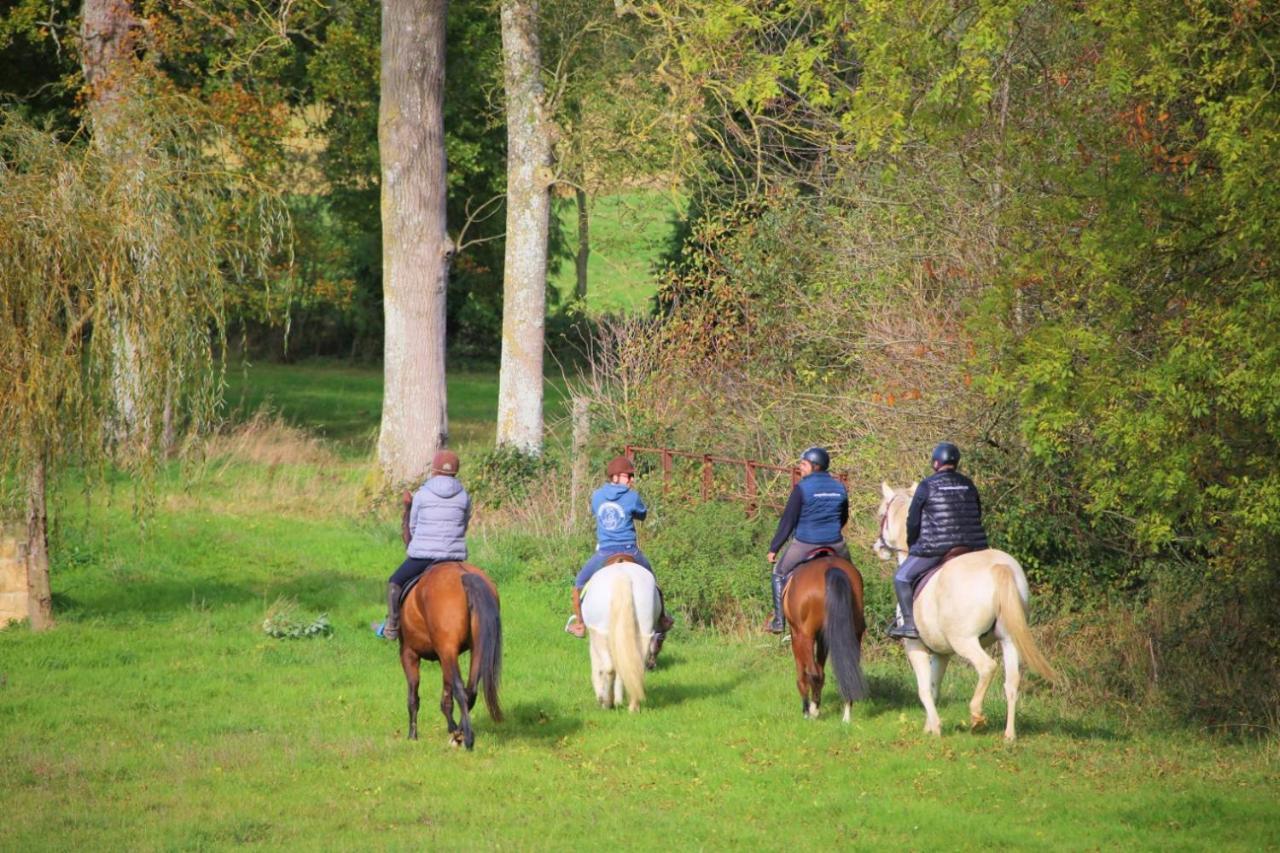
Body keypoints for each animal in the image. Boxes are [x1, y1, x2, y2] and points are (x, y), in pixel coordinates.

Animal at [396, 560, 501, 747]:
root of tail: (464, 573)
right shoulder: (443, 656)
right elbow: (446, 697)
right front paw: (451, 727)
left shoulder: (409, 653)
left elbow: (413, 697)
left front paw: (412, 735)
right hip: (475, 648)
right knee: (470, 690)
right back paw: (459, 732)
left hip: (447, 650)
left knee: (460, 689)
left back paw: (465, 738)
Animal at [581, 558, 660, 712]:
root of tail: (623, 575)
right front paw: (618, 699)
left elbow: (598, 667)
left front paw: (604, 698)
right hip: (643, 633)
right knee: (636, 666)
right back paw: (633, 706)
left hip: (601, 633)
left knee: (609, 668)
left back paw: (607, 703)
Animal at [778, 550, 870, 717]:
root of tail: (831, 568)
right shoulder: (823, 637)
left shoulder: (797, 634)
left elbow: (802, 671)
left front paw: (807, 709)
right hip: (854, 633)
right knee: (848, 671)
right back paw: (846, 714)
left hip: (806, 635)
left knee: (812, 672)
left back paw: (811, 711)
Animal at [870, 481, 1059, 742]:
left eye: (882, 515)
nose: (877, 547)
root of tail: (999, 567)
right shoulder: (942, 653)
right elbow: (934, 688)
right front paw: (930, 727)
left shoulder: (915, 647)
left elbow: (923, 689)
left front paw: (935, 728)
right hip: (1009, 640)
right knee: (1012, 684)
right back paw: (1009, 735)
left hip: (965, 641)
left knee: (987, 667)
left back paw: (977, 715)